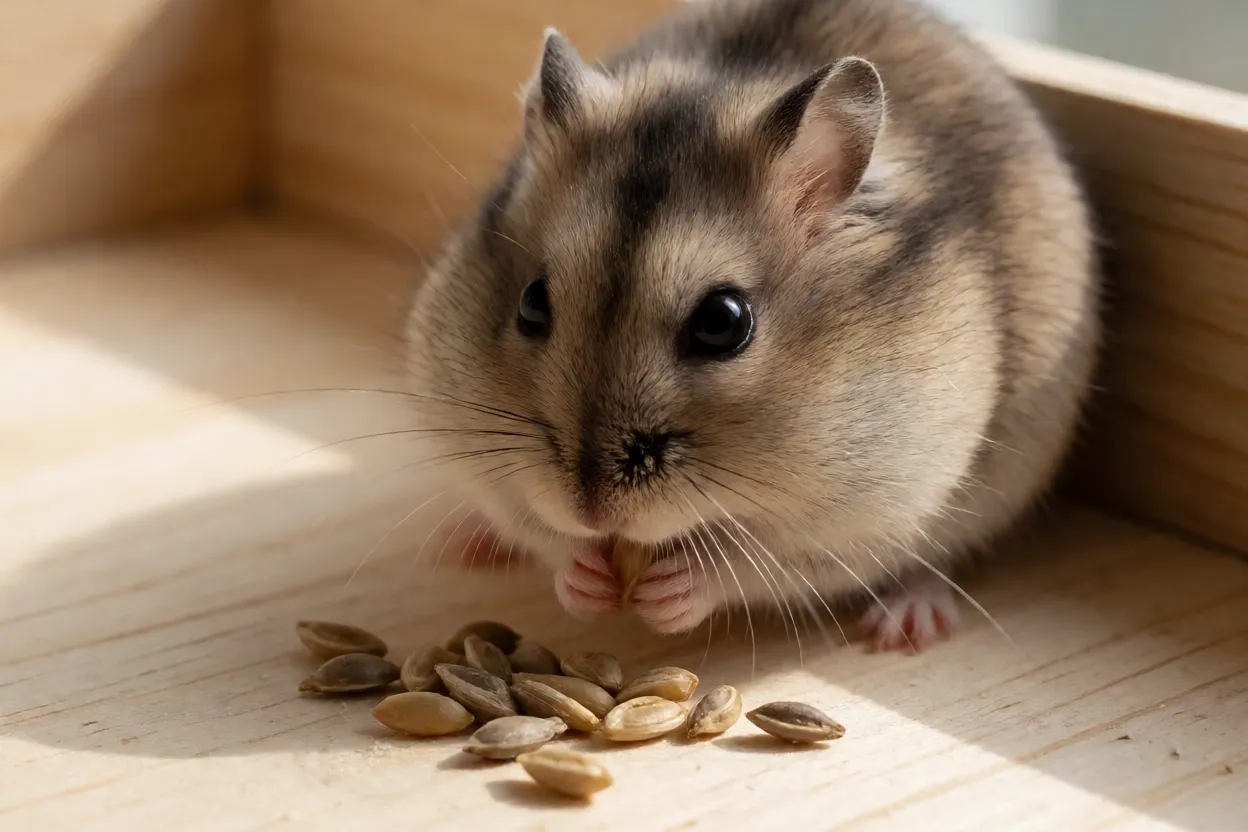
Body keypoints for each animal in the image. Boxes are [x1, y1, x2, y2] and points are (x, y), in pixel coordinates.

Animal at [402, 0, 1101, 651]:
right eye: (532, 302)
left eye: (723, 323)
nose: (593, 511)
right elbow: (542, 532)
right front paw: (583, 576)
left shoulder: (862, 514)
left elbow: (754, 566)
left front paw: (673, 588)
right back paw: (461, 541)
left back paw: (904, 627)